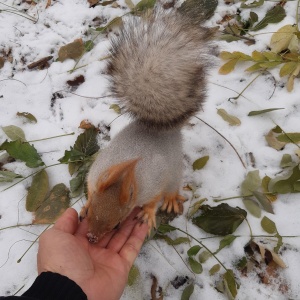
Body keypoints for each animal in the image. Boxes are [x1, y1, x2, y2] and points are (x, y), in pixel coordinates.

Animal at [79, 5, 213, 243]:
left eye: (117, 224)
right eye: (93, 210)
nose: (92, 238)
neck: (127, 173)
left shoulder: (154, 182)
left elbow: (152, 200)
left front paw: (148, 214)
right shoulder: (95, 174)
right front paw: (84, 205)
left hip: (174, 168)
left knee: (172, 185)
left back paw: (171, 198)